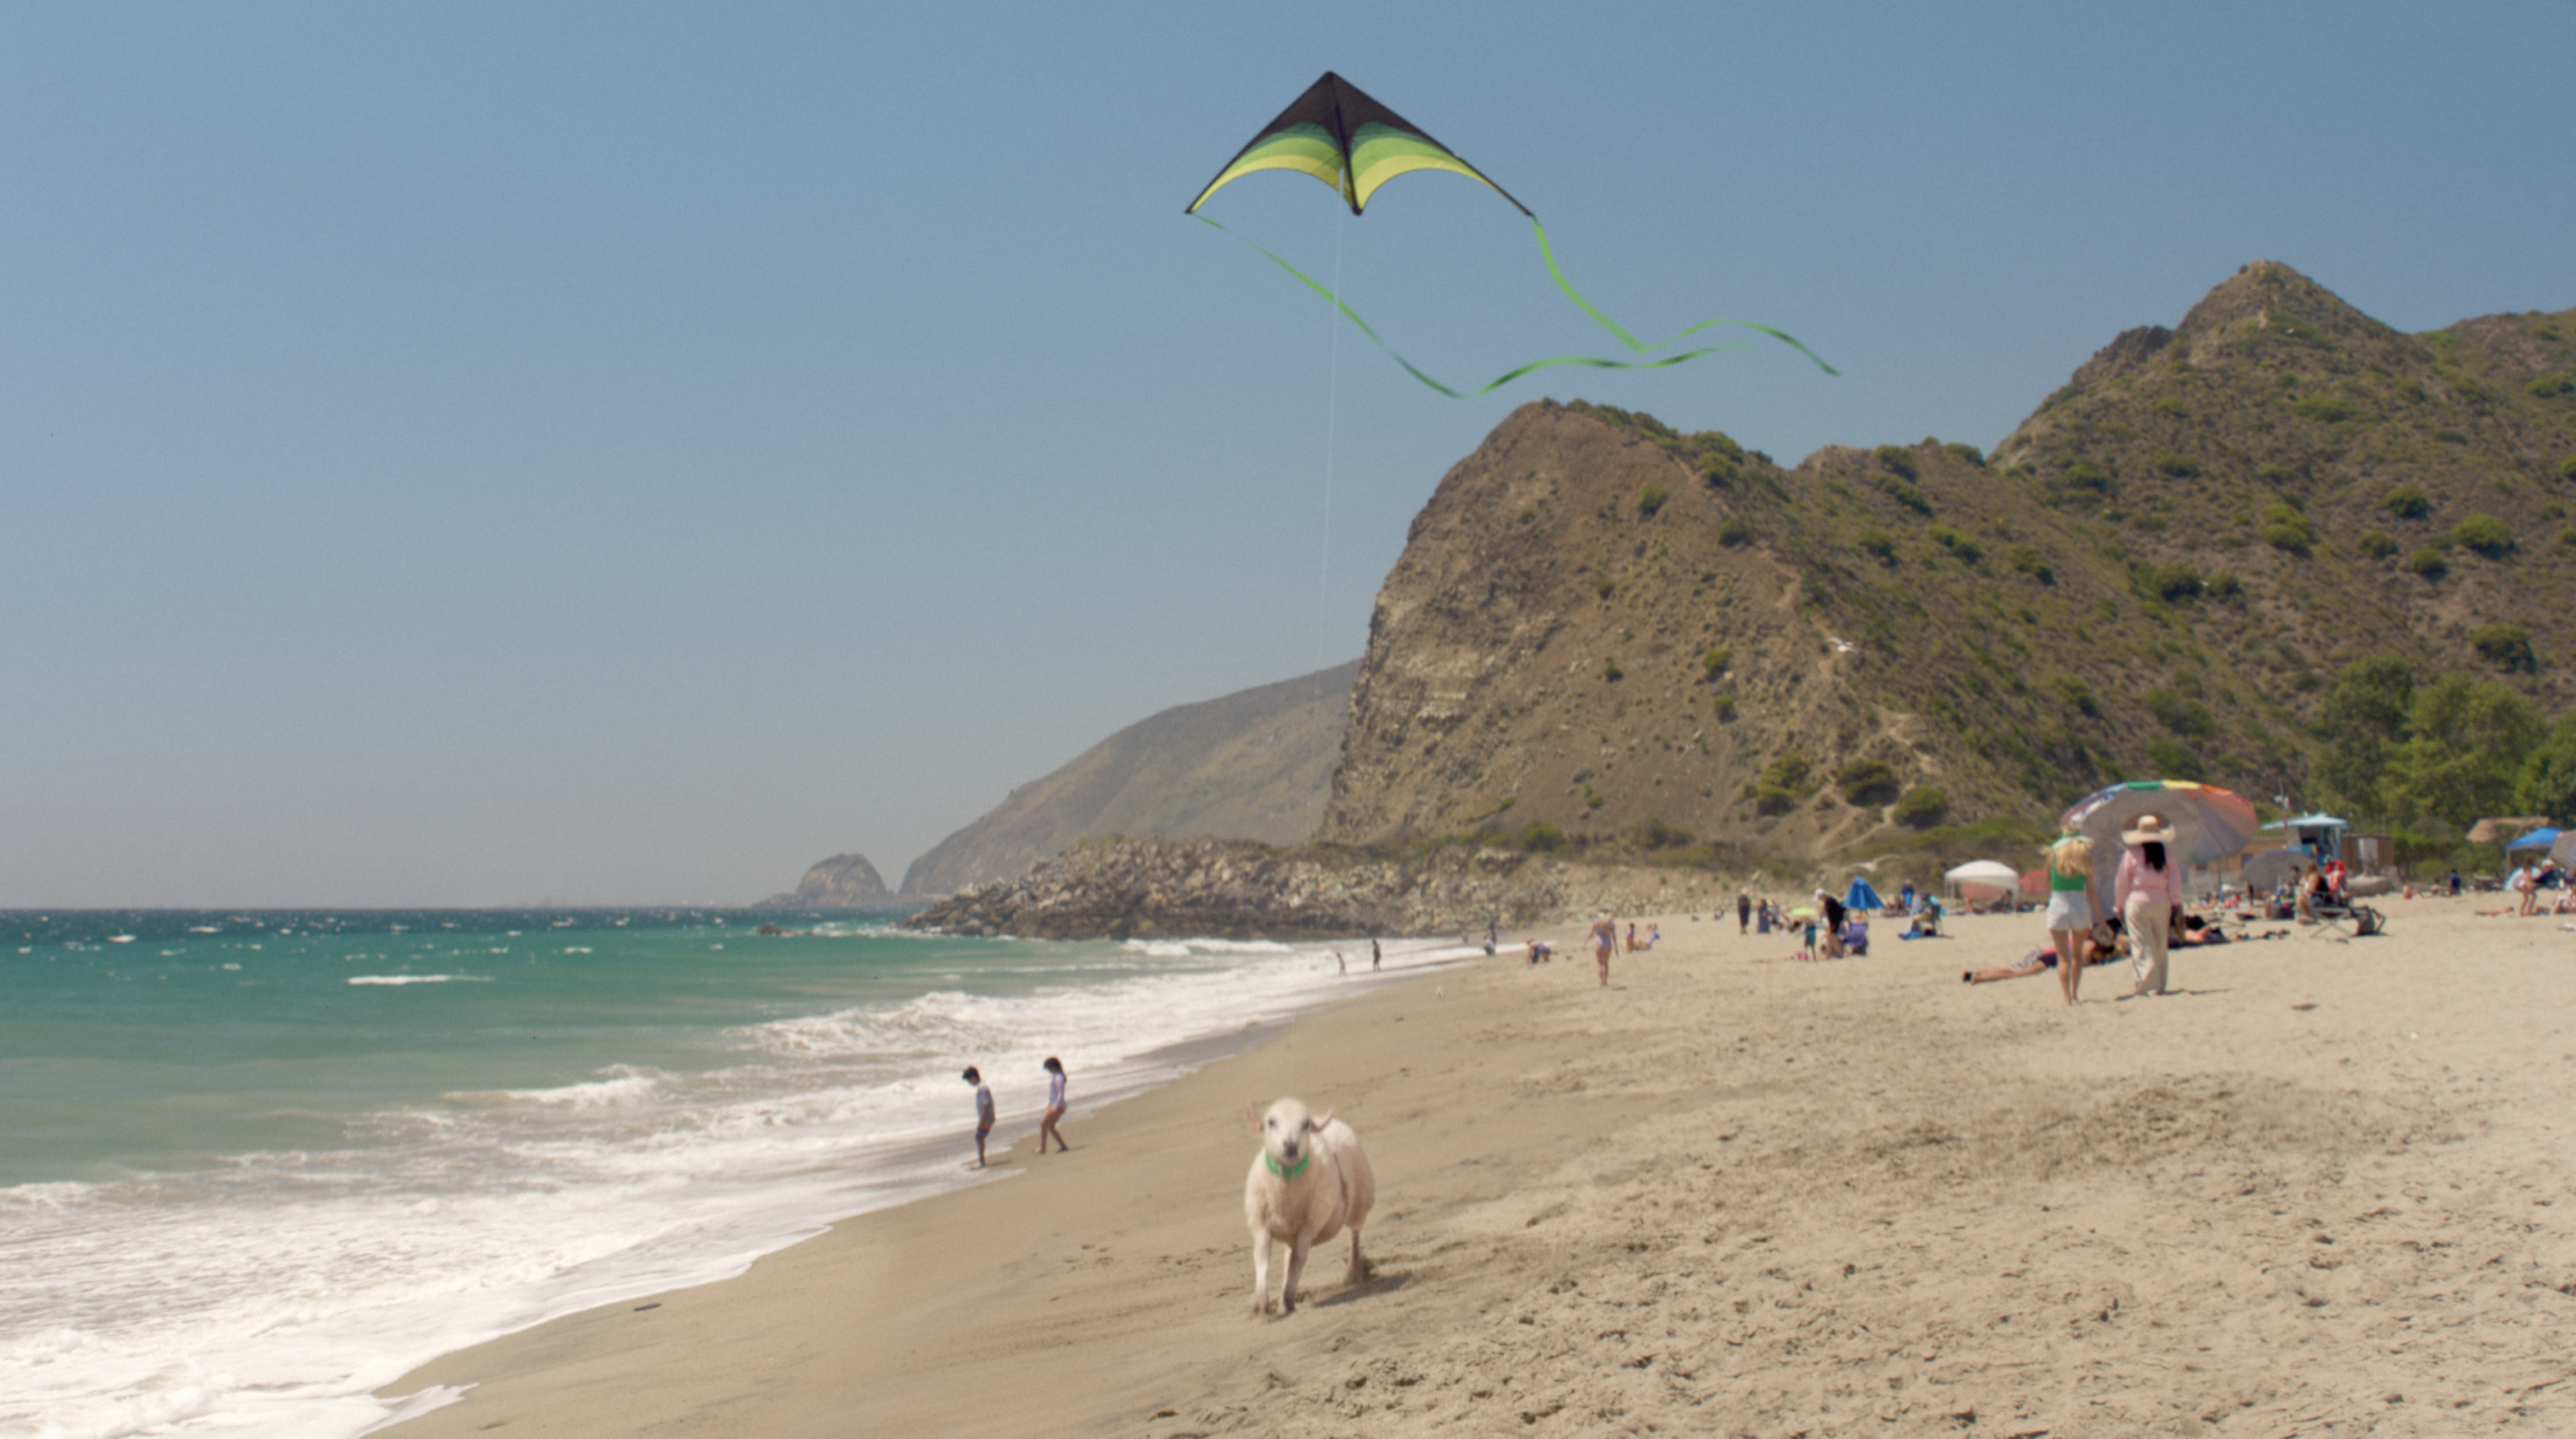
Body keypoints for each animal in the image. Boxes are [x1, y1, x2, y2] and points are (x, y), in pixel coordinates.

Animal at [1243, 1096, 1375, 1316]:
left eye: (1305, 1124)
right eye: (1271, 1122)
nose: (1290, 1146)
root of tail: (1335, 1123)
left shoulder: (1309, 1225)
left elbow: (1298, 1260)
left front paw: (1288, 1300)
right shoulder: (1260, 1224)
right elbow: (1262, 1258)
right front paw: (1261, 1303)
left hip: (1361, 1201)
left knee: (1355, 1234)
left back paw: (1354, 1271)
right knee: (1287, 1259)